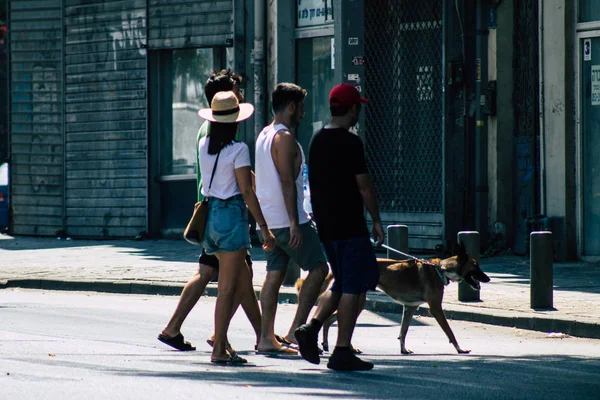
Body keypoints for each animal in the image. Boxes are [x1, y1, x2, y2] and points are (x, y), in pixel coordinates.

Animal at [296, 242, 492, 354]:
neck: (441, 270)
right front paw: (460, 349)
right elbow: (450, 331)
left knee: (330, 320)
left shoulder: (410, 307)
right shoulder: (436, 308)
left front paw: (403, 350)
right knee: (334, 320)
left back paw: (328, 344)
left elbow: (403, 331)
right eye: (475, 265)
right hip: (358, 303)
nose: (488, 278)